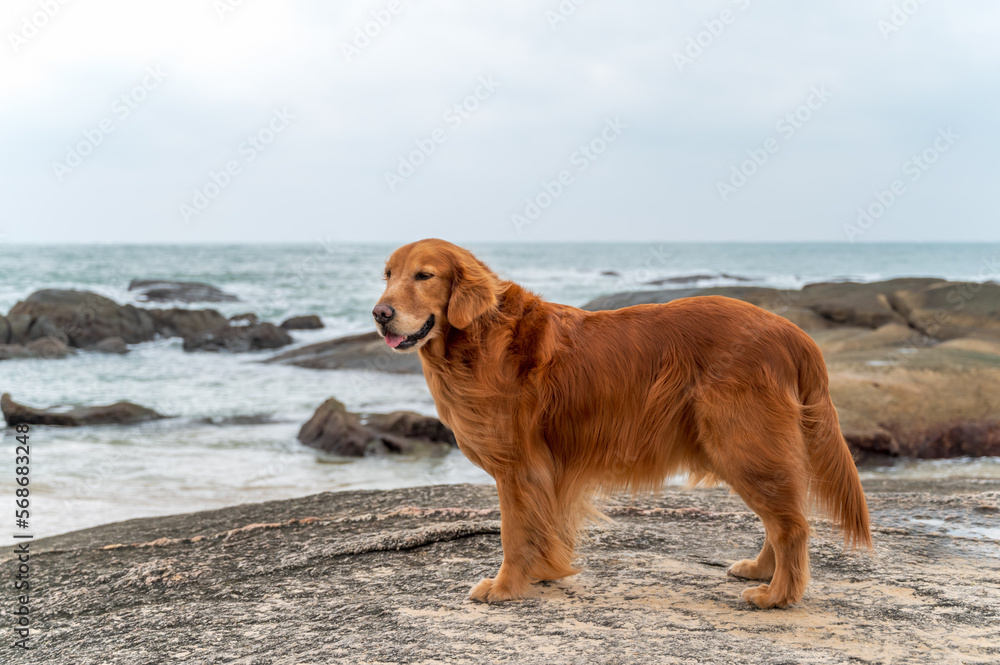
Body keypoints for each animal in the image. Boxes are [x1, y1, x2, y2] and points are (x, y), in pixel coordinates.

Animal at [372, 239, 872, 608]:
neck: (480, 336)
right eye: (388, 275)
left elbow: (514, 534)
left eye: (424, 276)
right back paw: (762, 570)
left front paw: (505, 587)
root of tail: (794, 332)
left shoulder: (519, 468)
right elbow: (543, 530)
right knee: (783, 518)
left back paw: (778, 595)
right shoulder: (544, 471)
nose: (380, 314)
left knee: (792, 524)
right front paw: (544, 574)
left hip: (741, 444)